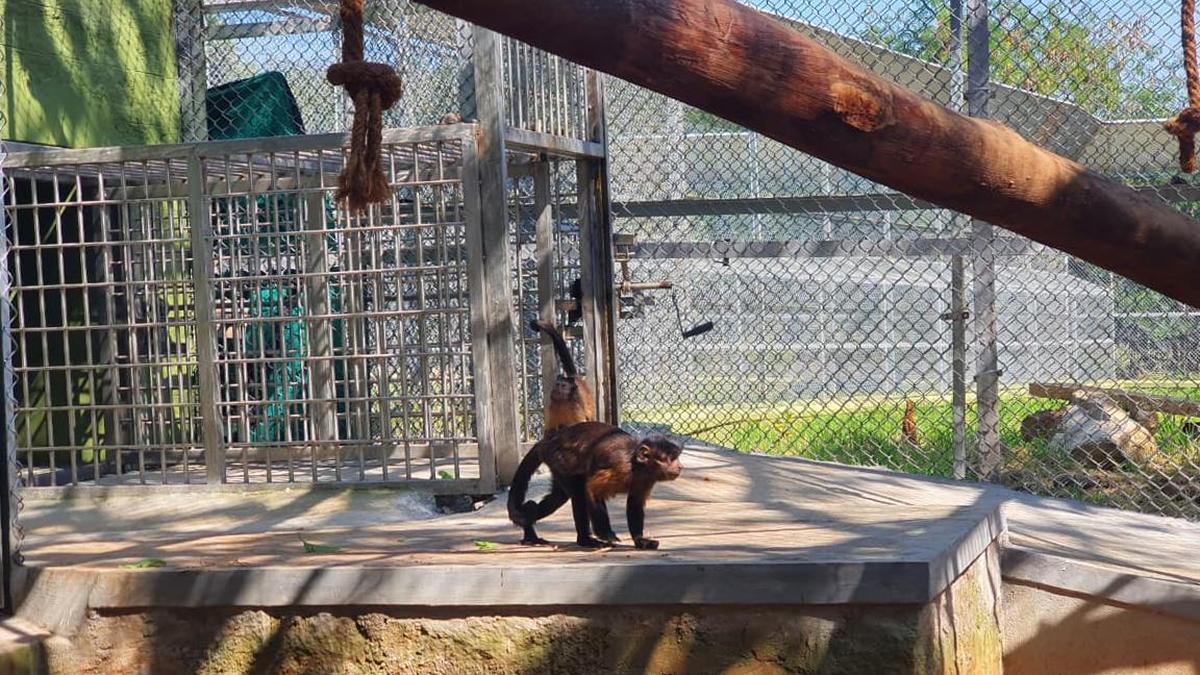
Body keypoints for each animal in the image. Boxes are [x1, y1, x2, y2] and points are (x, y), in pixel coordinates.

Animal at [507, 421, 683, 550]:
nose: (680, 466)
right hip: (556, 458)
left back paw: (529, 530)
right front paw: (606, 534)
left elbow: (635, 503)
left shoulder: (647, 478)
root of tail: (549, 440)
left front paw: (640, 541)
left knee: (558, 497)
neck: (636, 465)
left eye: (676, 458)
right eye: (670, 459)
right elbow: (591, 490)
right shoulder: (620, 466)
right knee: (578, 493)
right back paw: (584, 540)